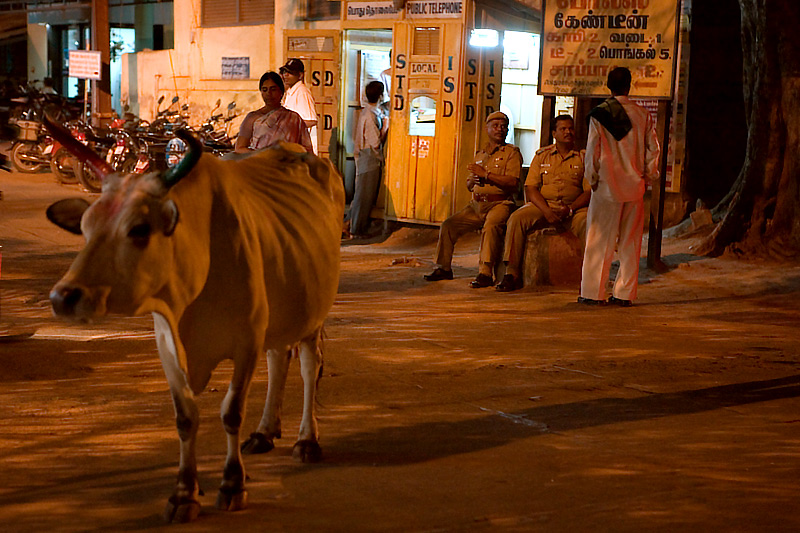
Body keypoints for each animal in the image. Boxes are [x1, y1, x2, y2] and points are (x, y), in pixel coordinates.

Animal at [43, 115, 344, 520]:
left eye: (139, 229)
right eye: (86, 228)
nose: (63, 297)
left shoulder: (246, 341)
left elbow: (231, 412)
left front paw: (232, 485)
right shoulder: (168, 344)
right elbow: (185, 418)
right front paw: (184, 493)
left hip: (314, 311)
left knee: (309, 367)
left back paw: (307, 440)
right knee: (279, 358)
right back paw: (264, 432)